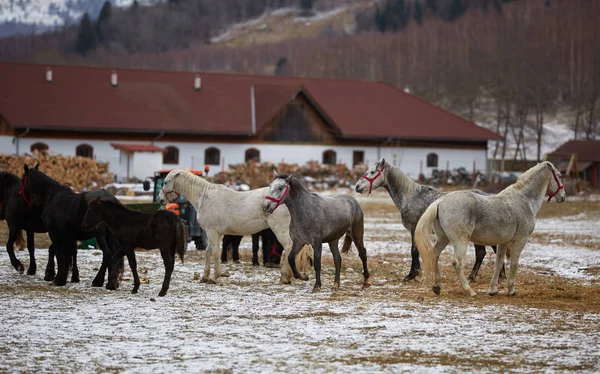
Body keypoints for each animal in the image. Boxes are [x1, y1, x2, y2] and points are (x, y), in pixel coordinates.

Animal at [156, 169, 314, 284]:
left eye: (165, 182)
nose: (160, 199)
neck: (204, 197)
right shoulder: (213, 233)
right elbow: (208, 252)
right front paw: (205, 277)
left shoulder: (212, 232)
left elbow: (215, 253)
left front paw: (215, 277)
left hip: (280, 229)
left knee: (288, 247)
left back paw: (284, 277)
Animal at [354, 159, 500, 284]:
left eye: (372, 172)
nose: (357, 186)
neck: (411, 196)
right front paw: (417, 272)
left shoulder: (414, 228)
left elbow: (414, 250)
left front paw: (411, 275)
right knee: (485, 252)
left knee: (486, 251)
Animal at [414, 162, 564, 296]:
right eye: (560, 176)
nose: (562, 197)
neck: (525, 200)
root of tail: (440, 201)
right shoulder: (520, 240)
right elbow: (514, 264)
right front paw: (511, 290)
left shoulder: (503, 242)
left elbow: (498, 263)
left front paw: (493, 290)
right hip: (460, 241)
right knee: (457, 262)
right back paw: (470, 291)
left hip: (443, 238)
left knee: (435, 254)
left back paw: (437, 286)